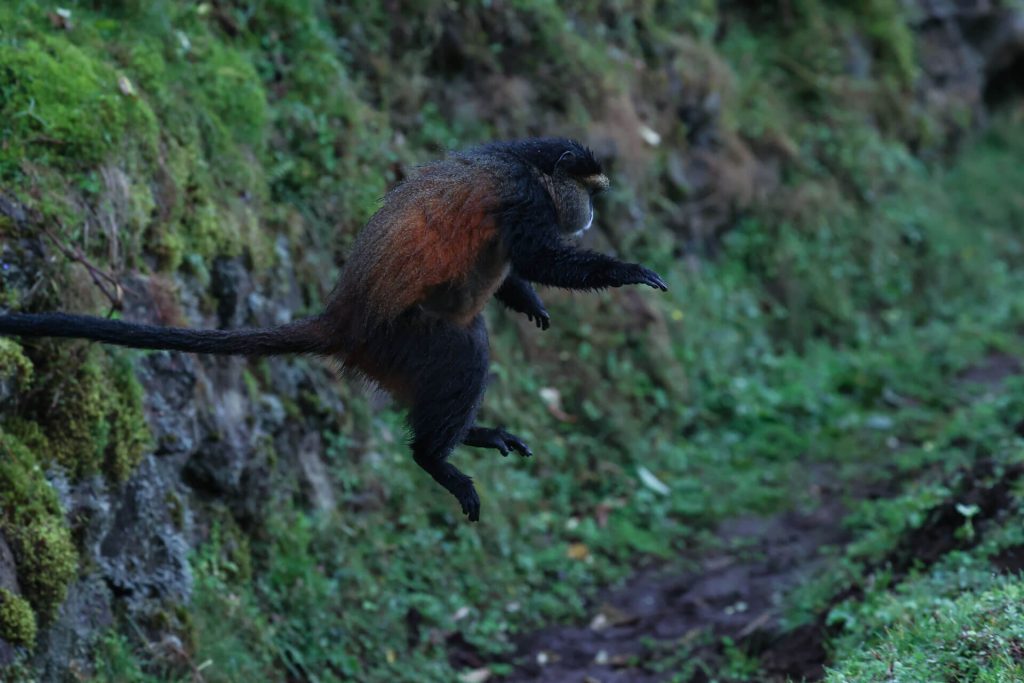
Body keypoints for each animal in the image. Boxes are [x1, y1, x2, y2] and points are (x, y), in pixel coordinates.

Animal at [0, 138, 667, 521]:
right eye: (586, 189)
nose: (592, 214)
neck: (528, 162)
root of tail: (342, 318)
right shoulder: (525, 198)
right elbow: (538, 257)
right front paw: (625, 271)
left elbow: (519, 271)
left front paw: (528, 301)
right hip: (404, 341)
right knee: (467, 350)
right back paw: (434, 457)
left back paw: (468, 435)